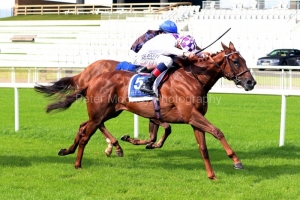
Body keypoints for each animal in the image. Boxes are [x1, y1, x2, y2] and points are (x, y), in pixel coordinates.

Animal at [34, 58, 171, 155]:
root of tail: (83, 73)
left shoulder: (153, 112)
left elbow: (155, 135)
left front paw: (151, 144)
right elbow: (166, 128)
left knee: (88, 123)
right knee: (98, 123)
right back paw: (112, 146)